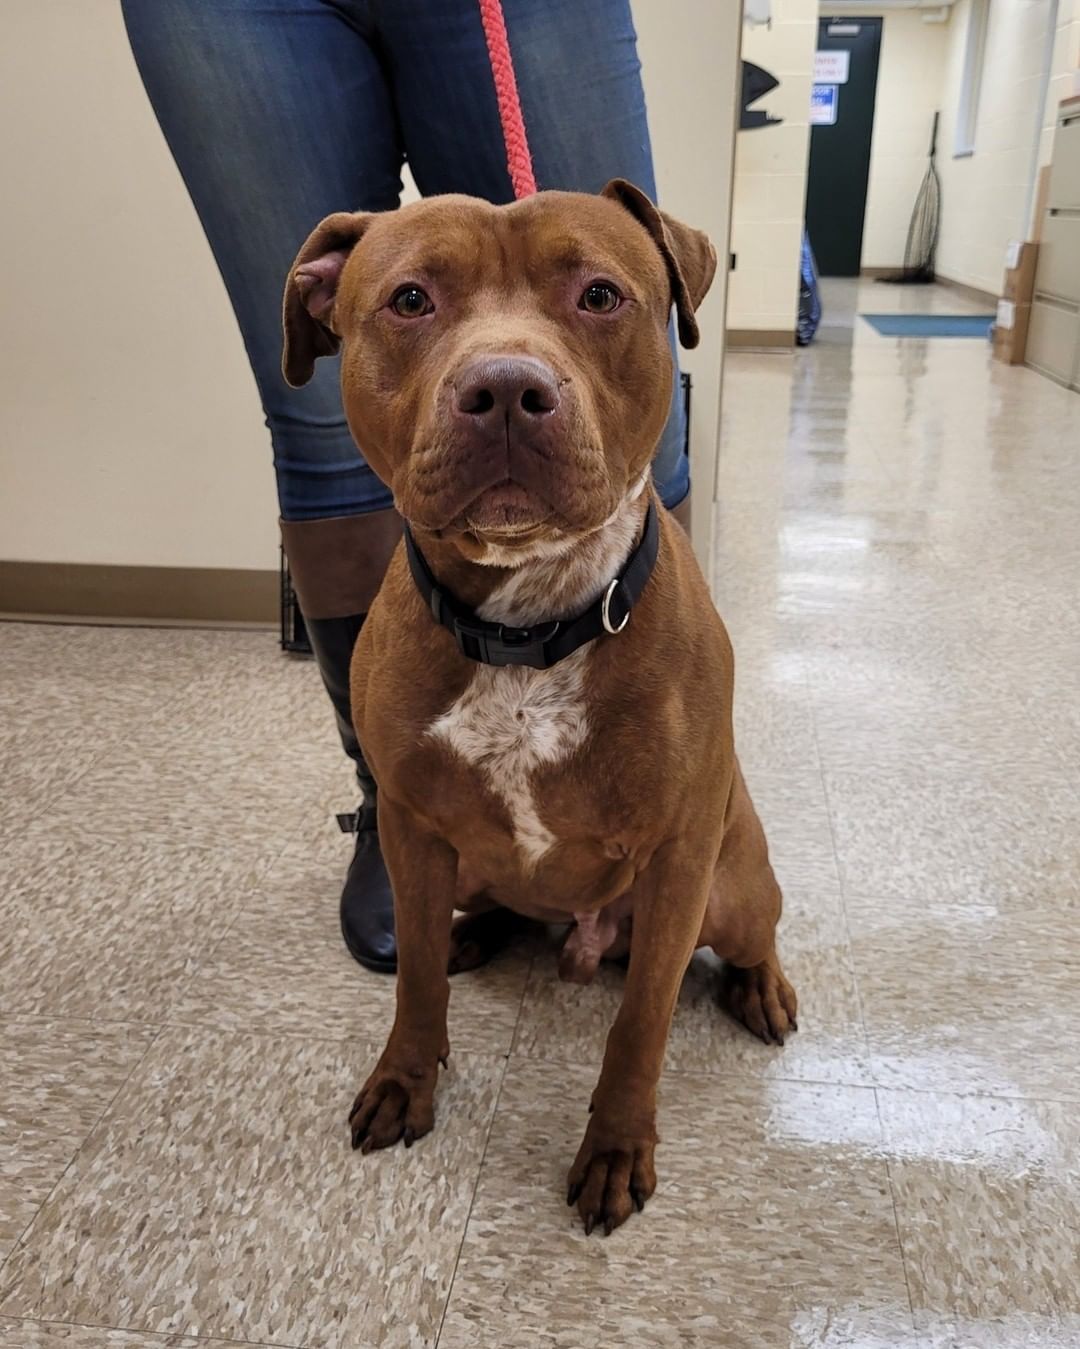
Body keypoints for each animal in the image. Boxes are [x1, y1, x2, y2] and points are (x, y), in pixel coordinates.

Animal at [281, 179, 798, 1235]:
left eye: (600, 295)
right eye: (409, 299)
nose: (508, 388)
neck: (530, 624)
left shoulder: (679, 857)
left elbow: (641, 1025)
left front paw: (616, 1148)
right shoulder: (409, 822)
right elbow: (415, 985)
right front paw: (406, 1078)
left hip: (731, 885)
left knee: (753, 932)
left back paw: (763, 987)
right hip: (460, 863)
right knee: (471, 916)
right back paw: (474, 932)